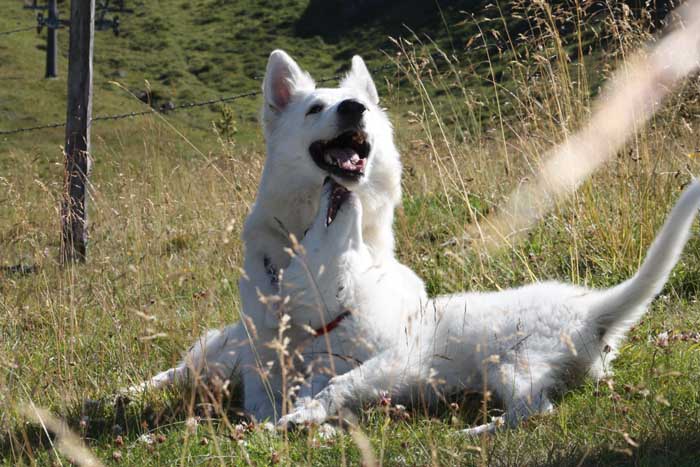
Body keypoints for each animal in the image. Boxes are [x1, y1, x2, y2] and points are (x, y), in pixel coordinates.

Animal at [131, 50, 421, 421]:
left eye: (363, 107)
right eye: (314, 108)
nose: (354, 108)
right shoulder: (261, 370)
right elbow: (263, 403)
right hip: (227, 352)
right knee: (181, 369)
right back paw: (127, 394)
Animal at [278, 179, 700, 434]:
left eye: (305, 231)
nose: (331, 180)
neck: (345, 307)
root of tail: (589, 311)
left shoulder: (398, 357)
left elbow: (340, 383)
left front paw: (307, 414)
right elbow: (316, 387)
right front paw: (302, 417)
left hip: (510, 362)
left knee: (534, 410)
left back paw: (474, 430)